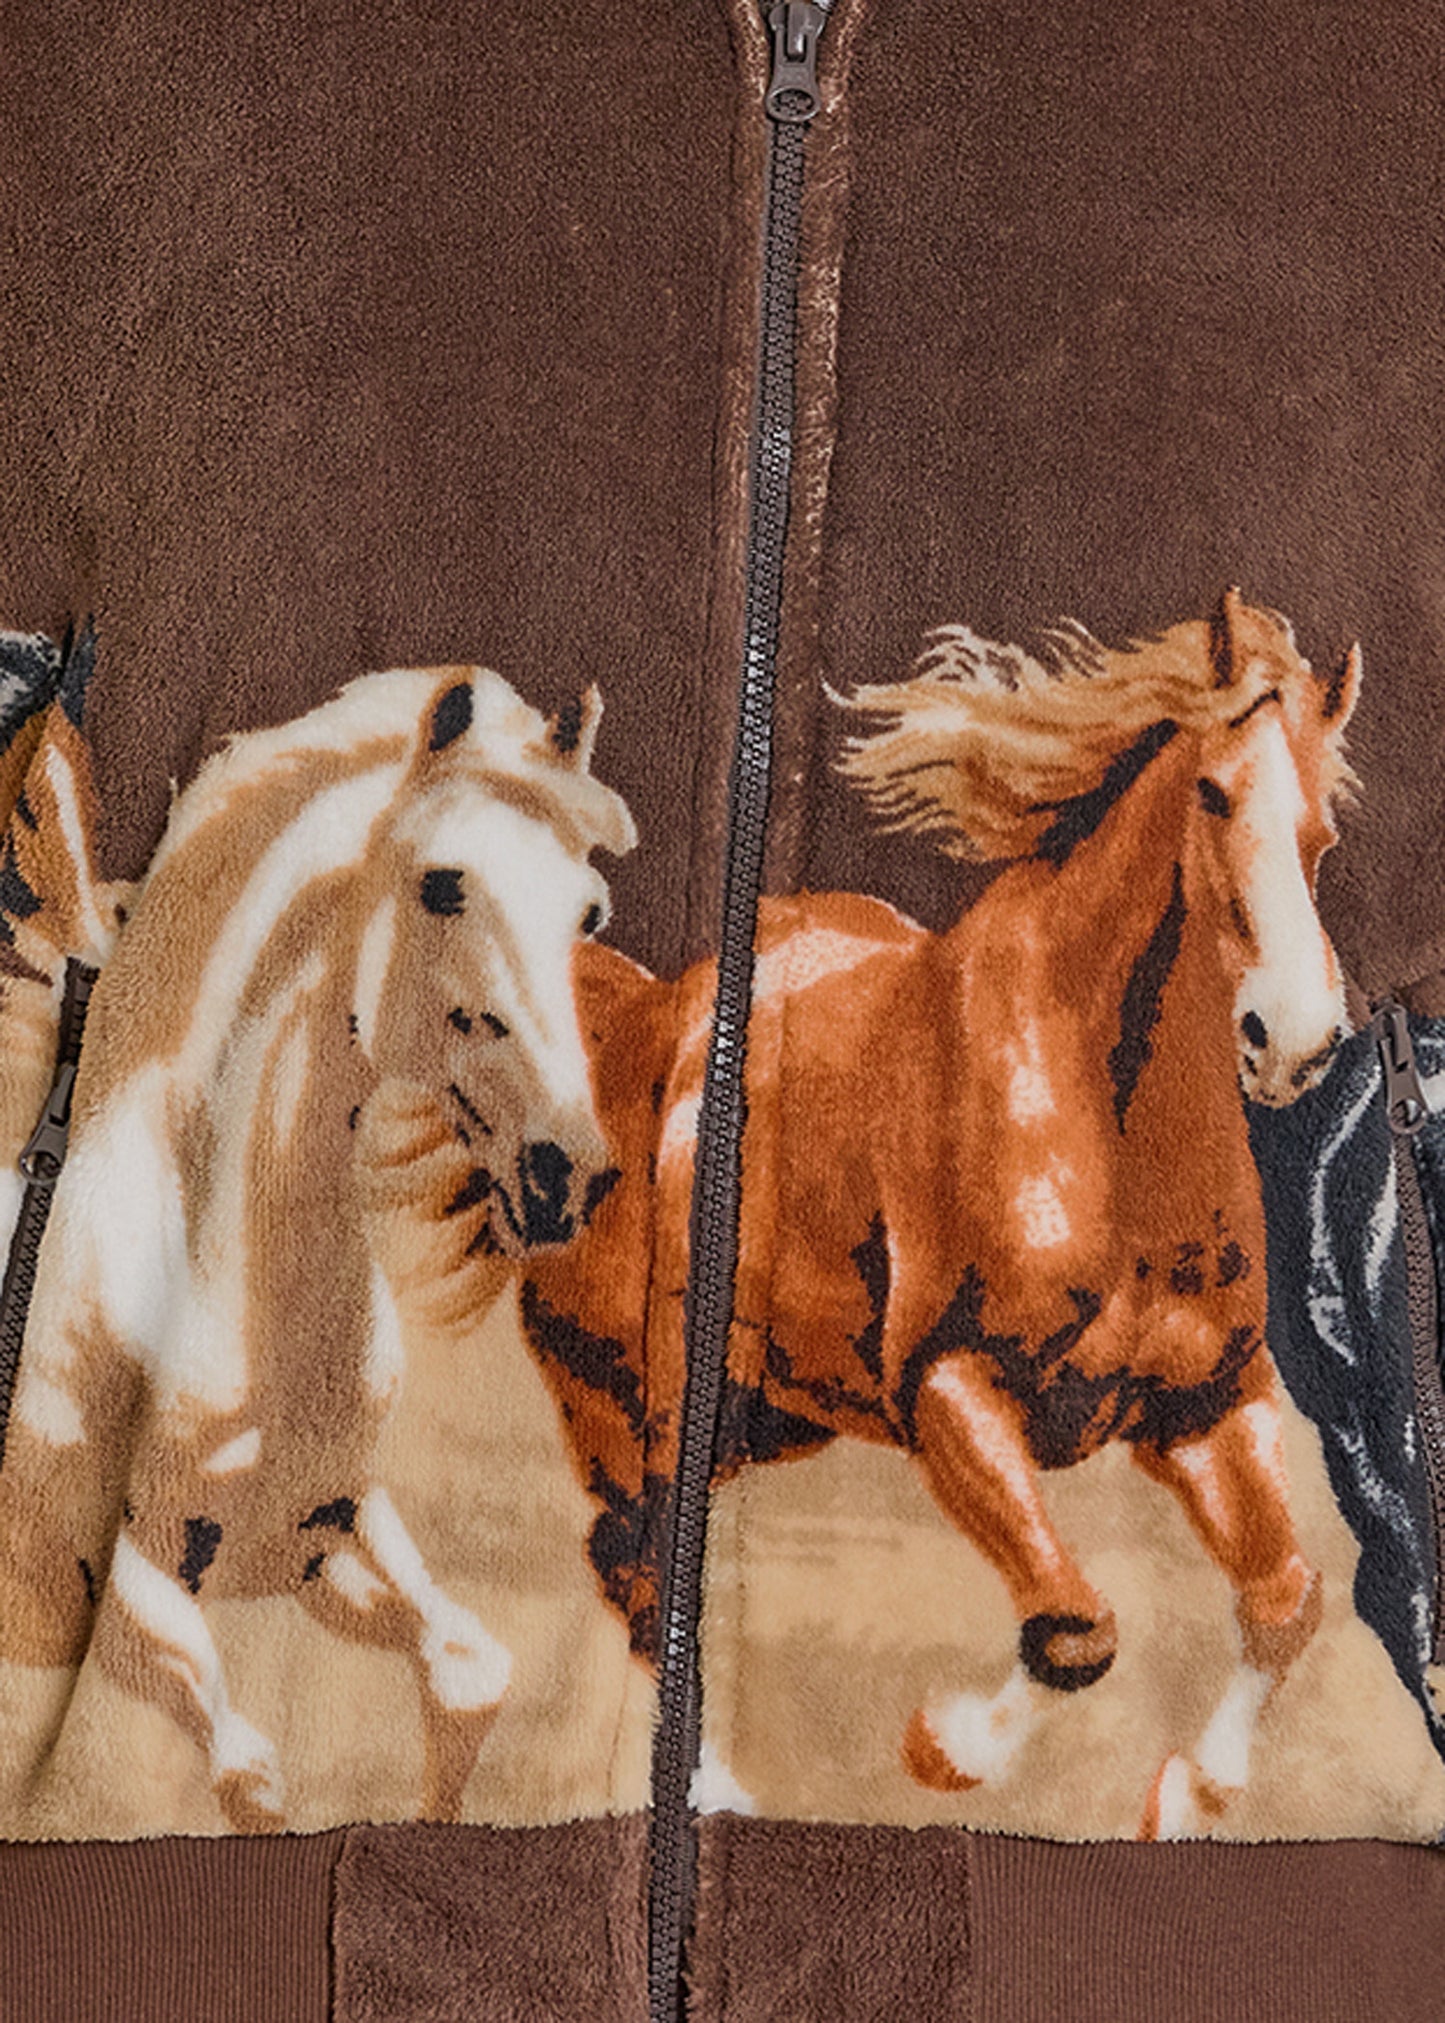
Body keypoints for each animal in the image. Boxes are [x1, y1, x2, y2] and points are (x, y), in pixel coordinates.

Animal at [1, 660, 636, 1833]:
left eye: (587, 910)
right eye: (443, 885)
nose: (562, 1170)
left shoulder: (325, 1531)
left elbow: (472, 1679)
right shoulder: (144, 1579)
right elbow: (248, 1775)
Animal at [521, 588, 1361, 1838]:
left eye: (1322, 823)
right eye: (1213, 791)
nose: (1292, 1041)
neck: (1096, 1130)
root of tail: (640, 1021)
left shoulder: (1208, 1398)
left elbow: (1283, 1599)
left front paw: (1190, 1788)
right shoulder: (948, 1385)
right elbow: (1074, 1630)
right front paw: (948, 1747)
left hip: (768, 1415)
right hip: (633, 1412)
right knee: (642, 1573)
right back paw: (719, 1786)